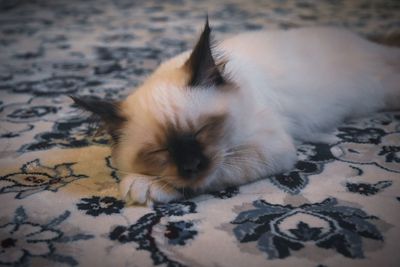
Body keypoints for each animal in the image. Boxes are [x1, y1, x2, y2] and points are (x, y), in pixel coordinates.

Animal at [72, 19, 400, 206]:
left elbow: (211, 176)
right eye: (161, 150)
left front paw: (145, 185)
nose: (192, 166)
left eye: (201, 131)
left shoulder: (269, 147)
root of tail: (363, 41)